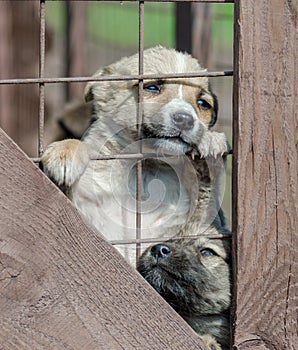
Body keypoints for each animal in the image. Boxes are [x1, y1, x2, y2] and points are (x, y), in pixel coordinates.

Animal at [41, 47, 228, 266]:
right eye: (152, 87)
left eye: (203, 103)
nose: (185, 120)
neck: (147, 168)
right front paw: (64, 154)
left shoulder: (193, 227)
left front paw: (210, 141)